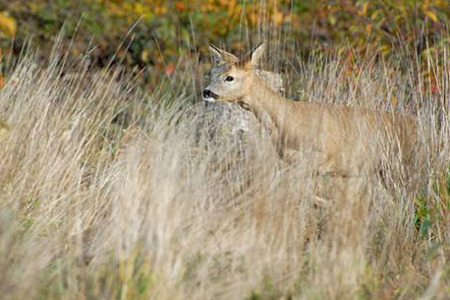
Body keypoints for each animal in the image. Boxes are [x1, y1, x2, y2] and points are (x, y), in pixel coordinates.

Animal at [204, 43, 422, 186]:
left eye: (229, 77)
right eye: (211, 73)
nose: (206, 92)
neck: (287, 120)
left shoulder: (320, 157)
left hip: (402, 165)